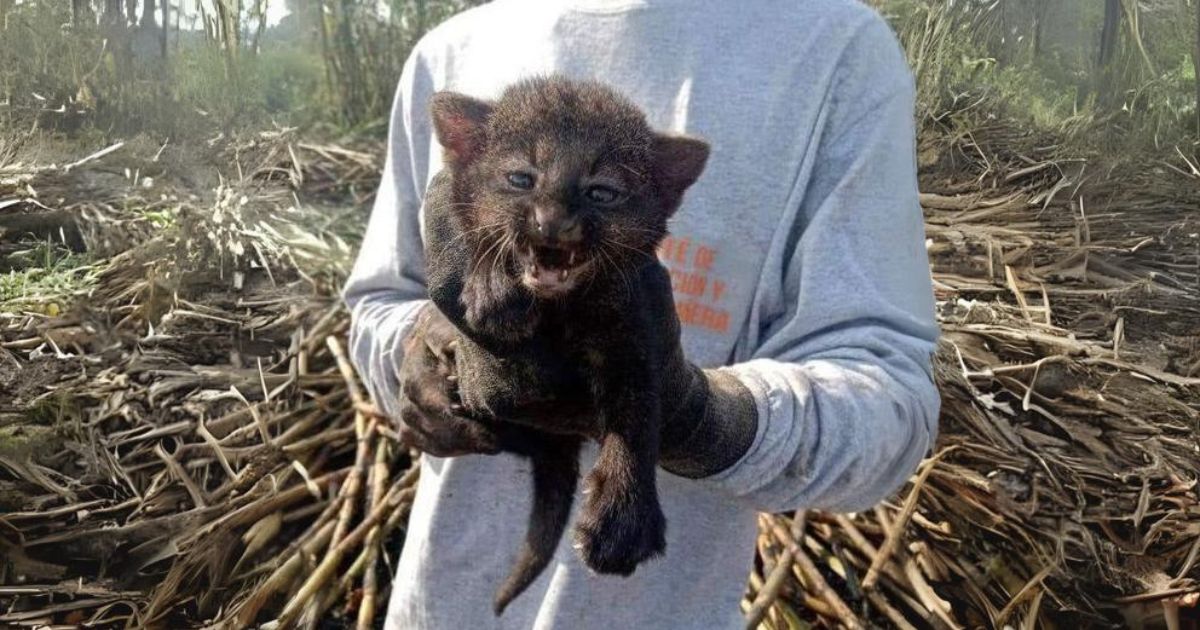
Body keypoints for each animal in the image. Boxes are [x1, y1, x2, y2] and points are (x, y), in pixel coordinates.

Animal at [420, 76, 705, 612]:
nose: (551, 221)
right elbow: (472, 237)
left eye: (602, 192)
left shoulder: (632, 336)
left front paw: (622, 522)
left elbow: (639, 415)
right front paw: (492, 289)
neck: (559, 313)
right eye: (521, 178)